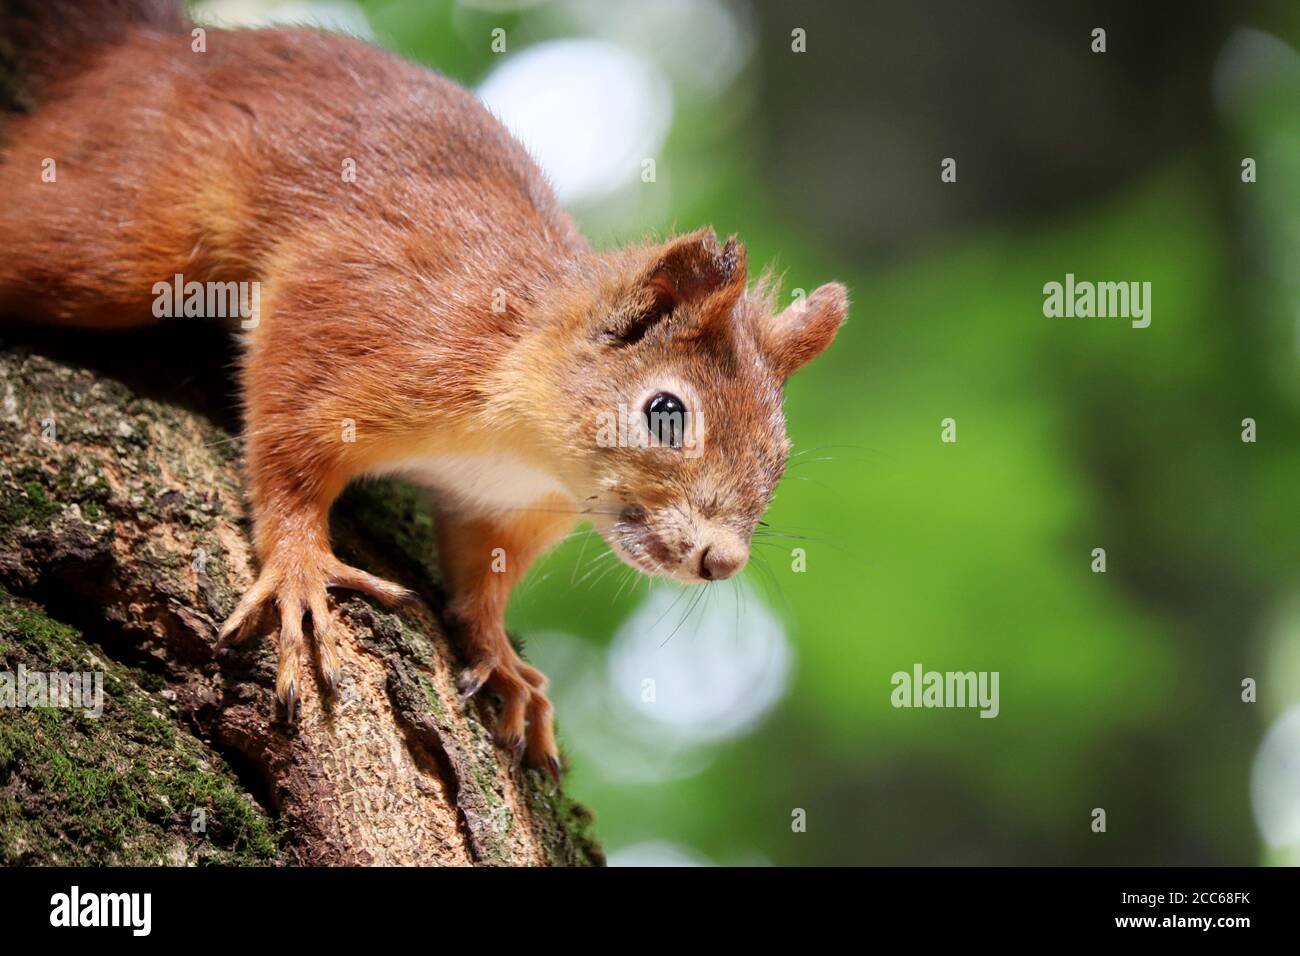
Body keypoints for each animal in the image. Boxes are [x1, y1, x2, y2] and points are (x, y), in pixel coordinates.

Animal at [0, 0, 847, 780]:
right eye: (665, 413)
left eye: (780, 456)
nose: (722, 560)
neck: (525, 449)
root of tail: (149, 46)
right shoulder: (358, 326)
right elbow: (286, 445)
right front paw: (301, 566)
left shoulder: (504, 510)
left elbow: (483, 579)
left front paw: (500, 655)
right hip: (125, 224)